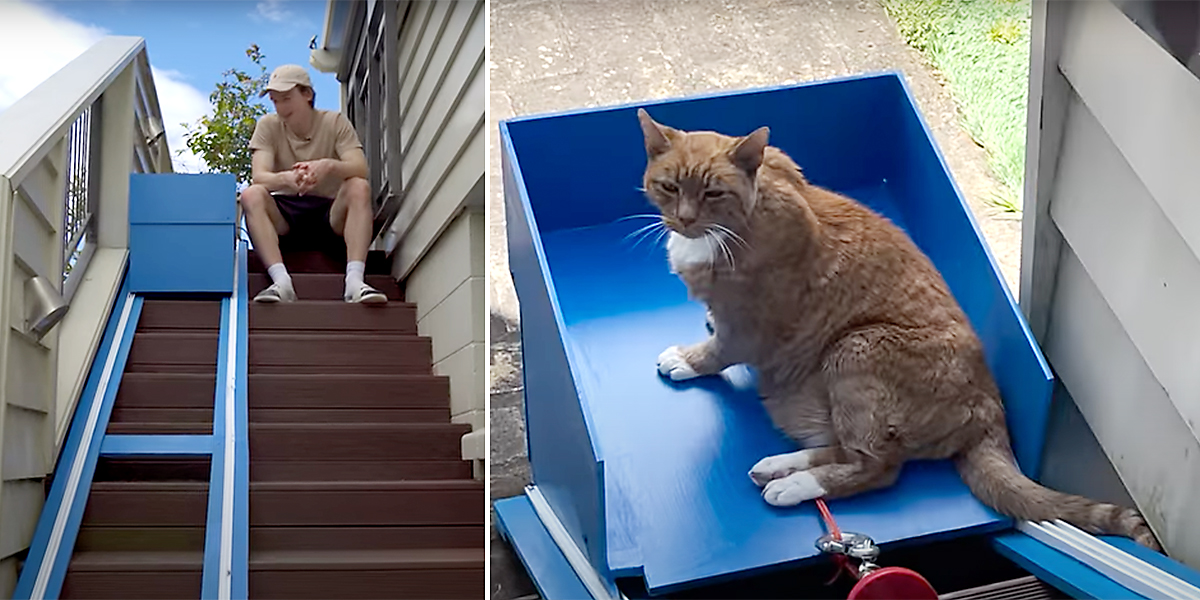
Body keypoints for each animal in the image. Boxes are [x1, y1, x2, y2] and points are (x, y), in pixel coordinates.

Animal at [643, 106, 1156, 549]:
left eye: (713, 193)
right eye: (667, 187)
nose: (683, 219)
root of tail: (990, 404)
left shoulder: (750, 325)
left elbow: (719, 351)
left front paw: (688, 359)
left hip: (854, 348)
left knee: (878, 467)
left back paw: (795, 484)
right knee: (848, 449)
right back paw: (779, 465)